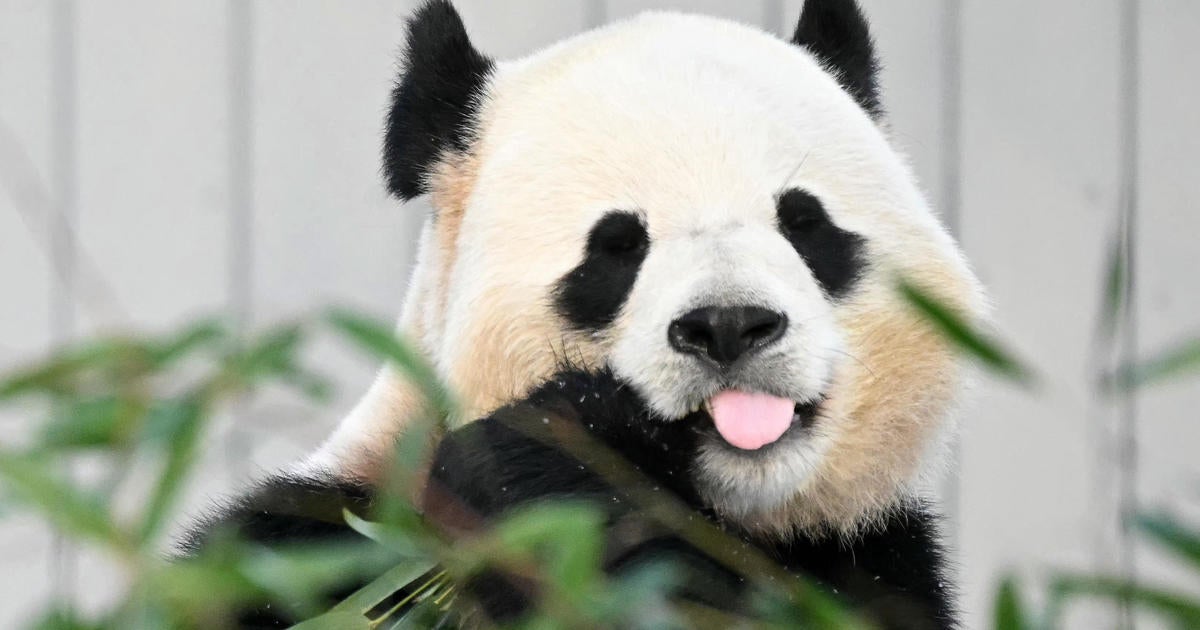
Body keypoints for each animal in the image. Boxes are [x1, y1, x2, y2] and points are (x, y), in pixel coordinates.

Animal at [182, 0, 986, 628]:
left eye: (803, 223)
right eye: (617, 247)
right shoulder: (314, 545)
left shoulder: (877, 558)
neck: (737, 511)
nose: (728, 326)